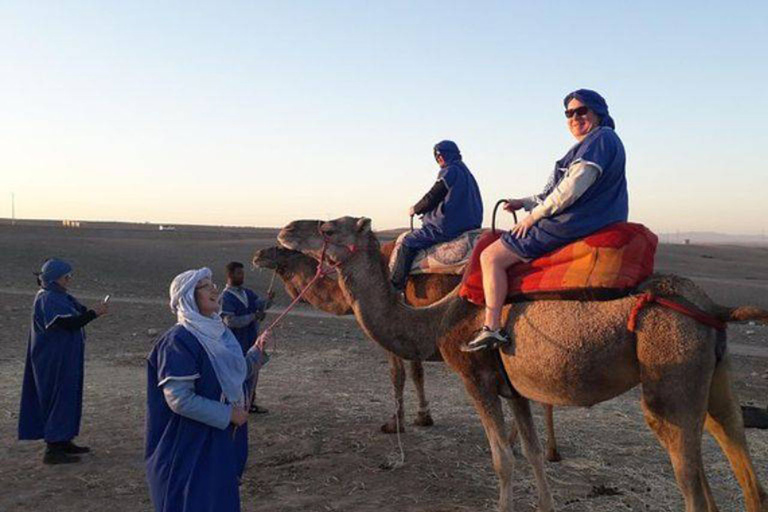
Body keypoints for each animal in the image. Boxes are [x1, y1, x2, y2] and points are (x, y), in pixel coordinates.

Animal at [255, 242, 560, 462]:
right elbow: (417, 371)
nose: (258, 254)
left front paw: (396, 422)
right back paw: (544, 449)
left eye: (282, 249)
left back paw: (533, 448)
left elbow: (398, 373)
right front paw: (423, 416)